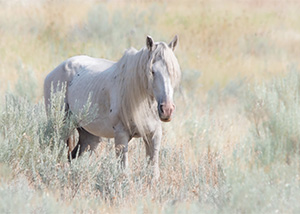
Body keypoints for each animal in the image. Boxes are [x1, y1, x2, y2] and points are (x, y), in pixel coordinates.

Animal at [44, 35, 180, 179]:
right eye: (152, 71)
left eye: (173, 72)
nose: (167, 110)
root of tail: (52, 73)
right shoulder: (121, 135)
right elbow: (124, 170)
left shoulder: (153, 135)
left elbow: (153, 172)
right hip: (62, 128)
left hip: (89, 137)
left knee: (73, 157)